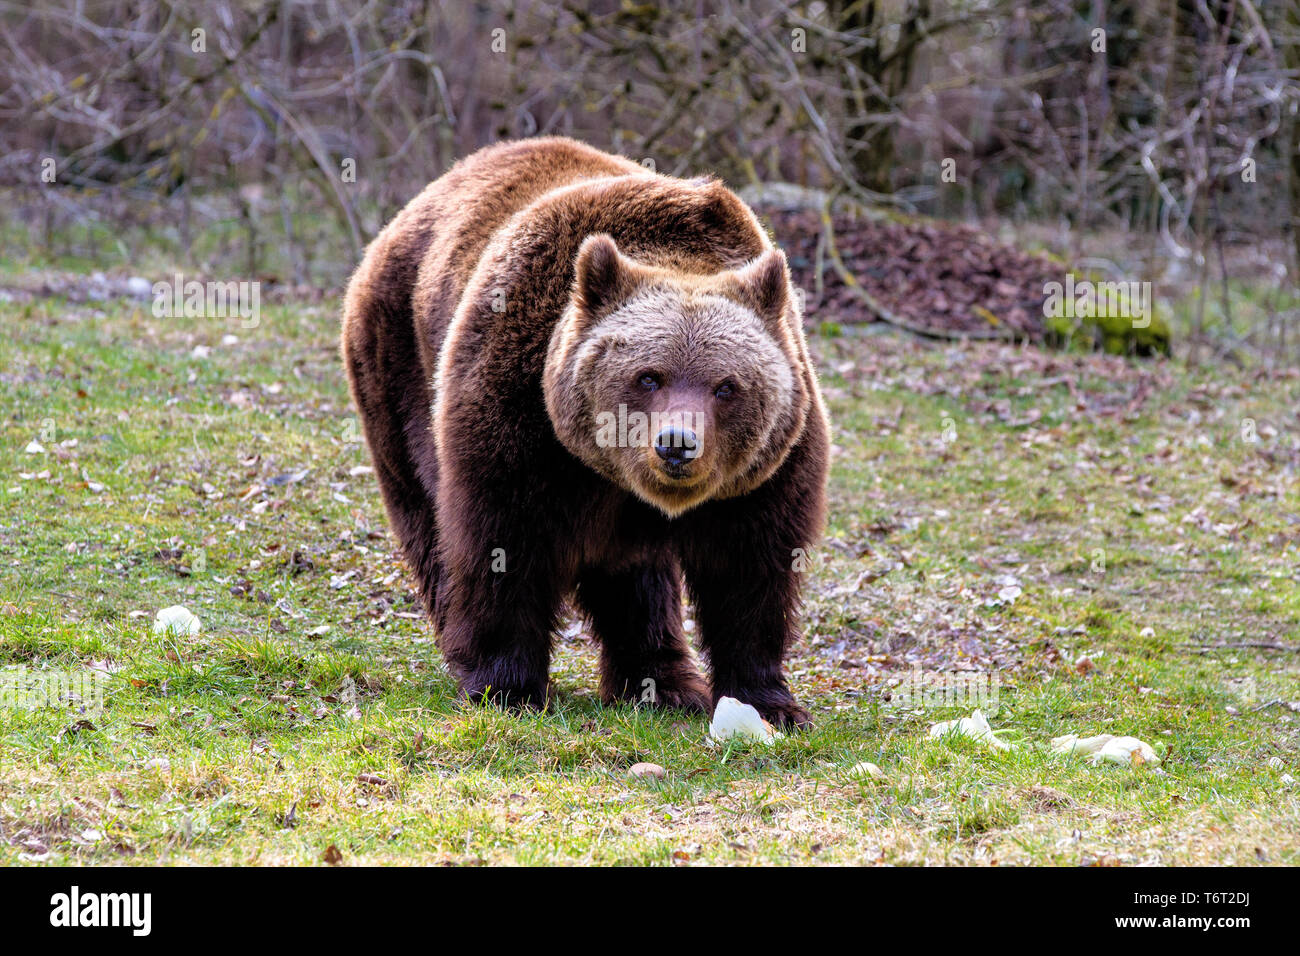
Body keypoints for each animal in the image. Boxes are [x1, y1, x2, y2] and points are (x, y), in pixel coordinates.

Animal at [341, 137, 829, 728]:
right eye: (649, 376)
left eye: (725, 386)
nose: (677, 444)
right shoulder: (519, 417)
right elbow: (502, 544)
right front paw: (507, 687)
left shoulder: (768, 470)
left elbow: (750, 573)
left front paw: (768, 703)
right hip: (396, 368)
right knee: (425, 516)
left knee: (635, 577)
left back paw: (662, 683)